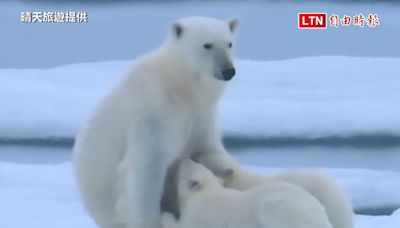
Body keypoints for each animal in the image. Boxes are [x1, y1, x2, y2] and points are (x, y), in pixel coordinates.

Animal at [72, 16, 354, 228]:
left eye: (229, 43)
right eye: (207, 45)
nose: (228, 70)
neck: (181, 86)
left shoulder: (201, 113)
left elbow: (208, 150)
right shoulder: (153, 112)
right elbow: (146, 169)